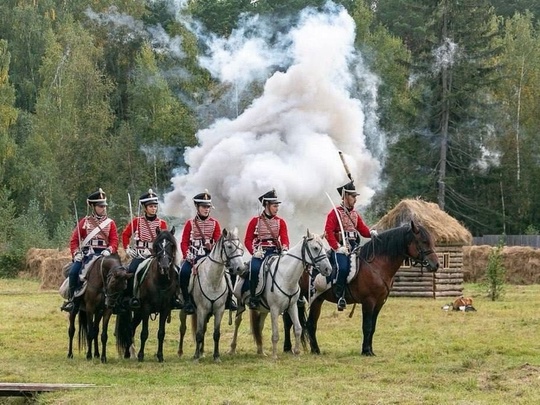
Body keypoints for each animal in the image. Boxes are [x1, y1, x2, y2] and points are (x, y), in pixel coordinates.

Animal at [127, 226, 178, 362]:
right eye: (158, 244)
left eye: (171, 245)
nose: (164, 267)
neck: (161, 282)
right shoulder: (146, 308)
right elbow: (144, 333)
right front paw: (141, 355)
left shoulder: (165, 309)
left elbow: (161, 333)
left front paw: (160, 356)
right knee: (130, 328)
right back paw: (130, 353)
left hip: (138, 313)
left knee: (132, 327)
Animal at [177, 226, 245, 362]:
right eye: (229, 246)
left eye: (240, 246)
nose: (240, 268)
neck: (213, 280)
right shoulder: (202, 309)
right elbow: (198, 334)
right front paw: (196, 357)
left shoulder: (219, 310)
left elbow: (216, 333)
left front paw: (216, 356)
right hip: (185, 310)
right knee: (183, 328)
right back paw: (181, 352)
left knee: (203, 329)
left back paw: (202, 352)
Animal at [229, 229, 334, 358]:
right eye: (315, 248)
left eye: (323, 247)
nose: (328, 269)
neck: (285, 276)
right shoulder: (274, 309)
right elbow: (275, 334)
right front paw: (274, 356)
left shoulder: (292, 306)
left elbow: (298, 329)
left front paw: (297, 352)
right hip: (241, 303)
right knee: (237, 322)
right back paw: (232, 349)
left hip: (263, 309)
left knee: (259, 326)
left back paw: (261, 351)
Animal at [284, 219, 440, 356]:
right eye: (424, 241)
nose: (436, 265)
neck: (377, 265)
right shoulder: (368, 301)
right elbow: (367, 326)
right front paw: (366, 351)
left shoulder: (379, 303)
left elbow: (373, 327)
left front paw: (370, 349)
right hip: (311, 298)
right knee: (303, 322)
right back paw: (304, 349)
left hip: (313, 299)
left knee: (300, 323)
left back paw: (300, 349)